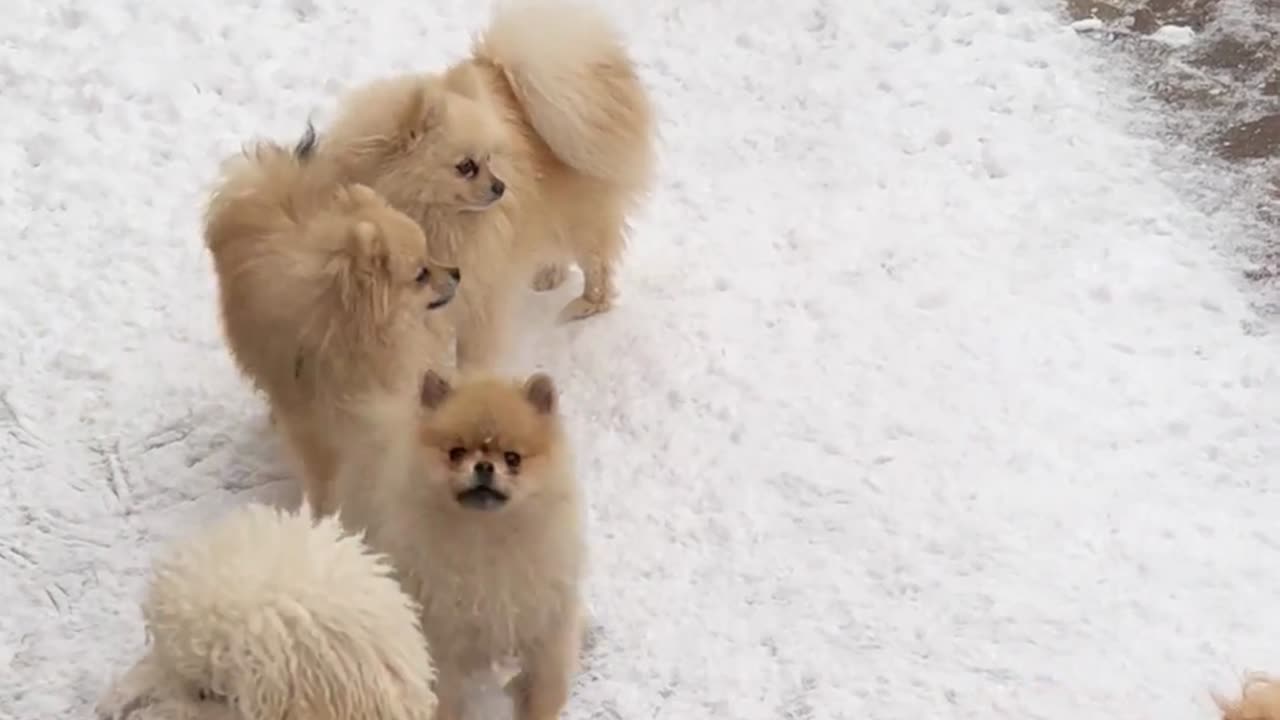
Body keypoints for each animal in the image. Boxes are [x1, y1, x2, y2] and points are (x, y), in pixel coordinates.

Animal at [199, 126, 460, 512]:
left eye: (431, 253)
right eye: (421, 274)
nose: (457, 272)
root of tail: (270, 178)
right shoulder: (317, 429)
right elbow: (325, 480)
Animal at [320, 0, 660, 368]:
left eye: (489, 159)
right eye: (466, 166)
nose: (501, 188)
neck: (431, 218)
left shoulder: (480, 292)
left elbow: (473, 354)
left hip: (582, 216)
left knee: (597, 266)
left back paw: (585, 304)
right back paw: (550, 274)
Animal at [350, 368, 588, 717]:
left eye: (513, 458)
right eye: (456, 453)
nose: (485, 466)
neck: (484, 536)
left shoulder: (546, 629)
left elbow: (545, 691)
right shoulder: (440, 640)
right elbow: (444, 699)